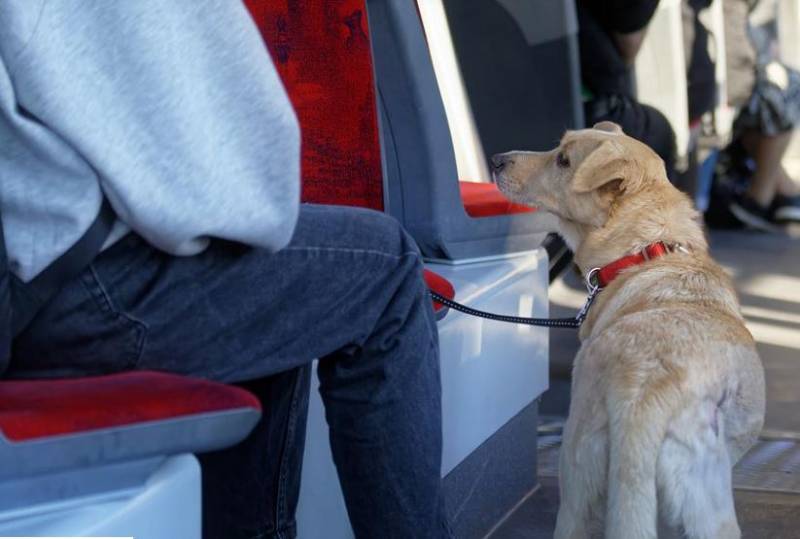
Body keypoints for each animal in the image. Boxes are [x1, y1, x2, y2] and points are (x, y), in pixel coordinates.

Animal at [494, 123, 768, 539]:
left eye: (563, 160)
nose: (496, 160)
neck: (647, 249)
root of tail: (645, 390)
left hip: (578, 471)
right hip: (708, 507)